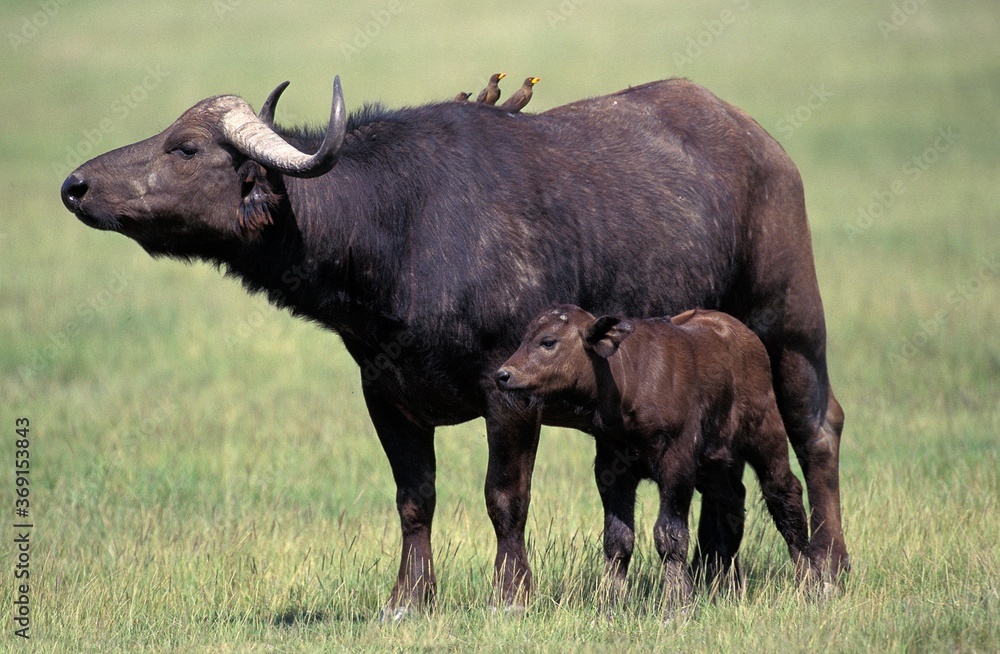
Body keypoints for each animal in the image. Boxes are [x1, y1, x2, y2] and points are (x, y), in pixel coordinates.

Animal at [494, 306, 812, 608]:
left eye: (548, 342)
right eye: (523, 339)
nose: (503, 375)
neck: (628, 381)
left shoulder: (677, 465)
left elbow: (670, 535)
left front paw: (676, 602)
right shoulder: (611, 468)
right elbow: (618, 538)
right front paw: (611, 601)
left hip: (766, 432)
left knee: (784, 494)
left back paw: (811, 582)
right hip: (712, 463)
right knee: (731, 500)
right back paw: (726, 585)